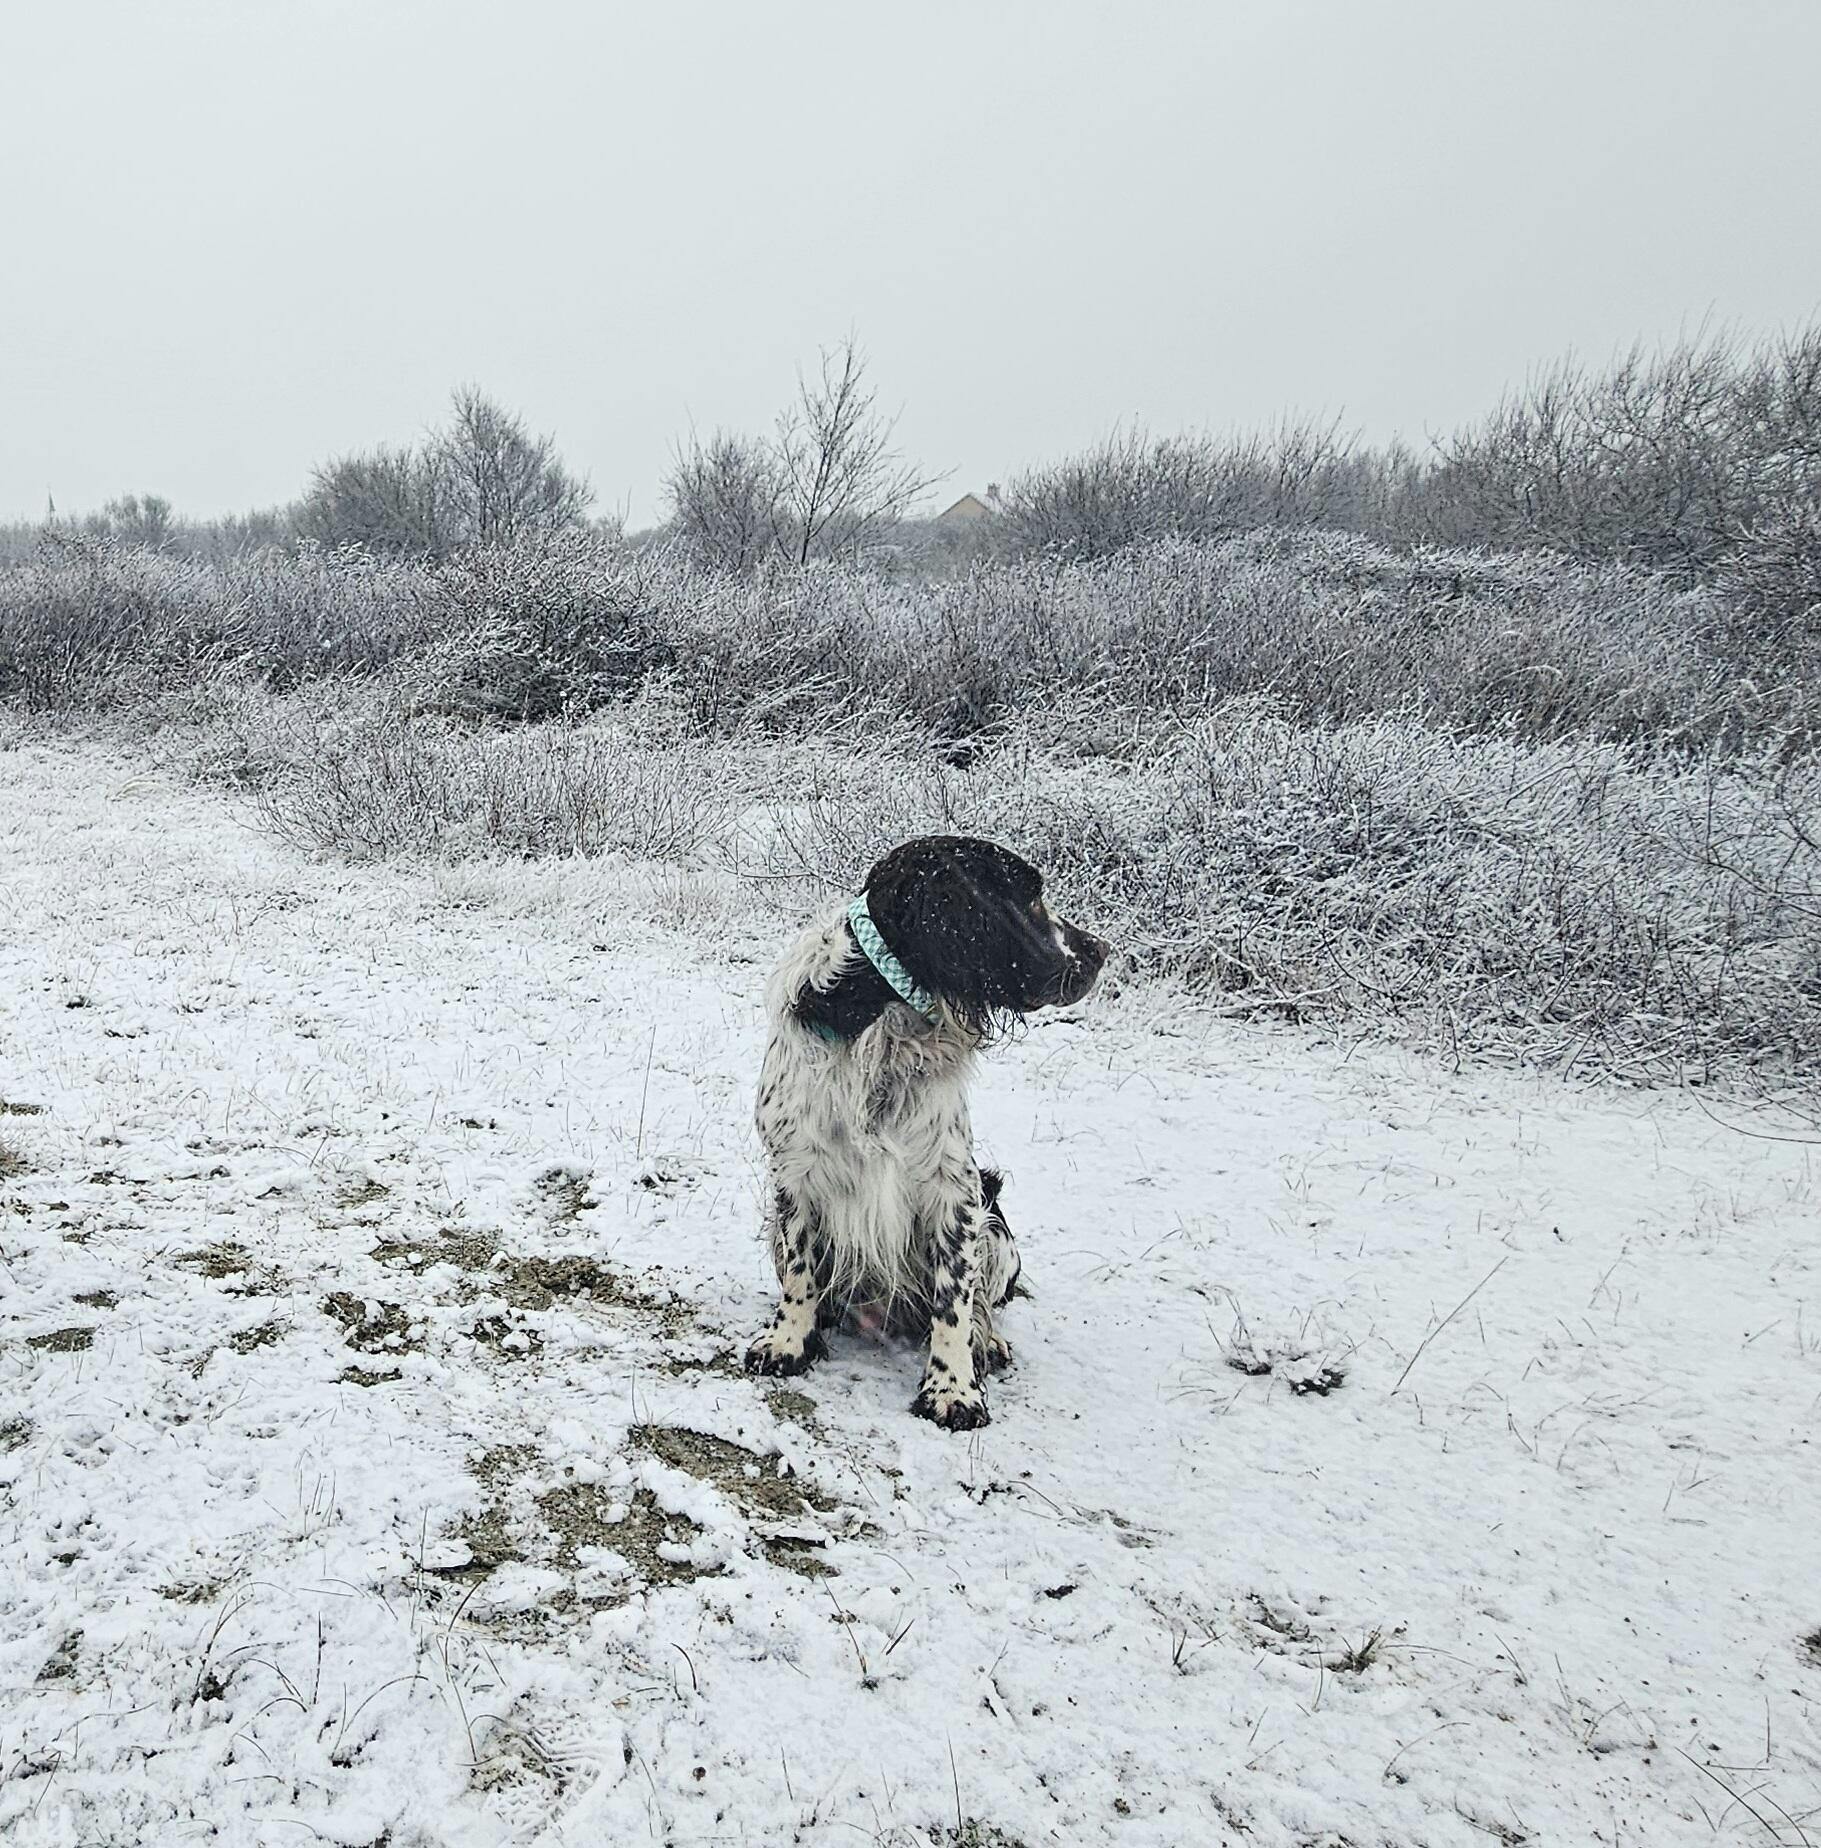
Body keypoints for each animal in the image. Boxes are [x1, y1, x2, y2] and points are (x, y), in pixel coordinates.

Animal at [744, 836, 1109, 1429]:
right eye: (1031, 898)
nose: (1100, 950)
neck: (882, 1015)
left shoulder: (953, 1187)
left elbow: (953, 1300)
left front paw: (952, 1389)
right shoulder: (793, 1171)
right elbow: (800, 1273)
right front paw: (787, 1343)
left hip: (996, 1225)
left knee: (981, 1301)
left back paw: (988, 1343)